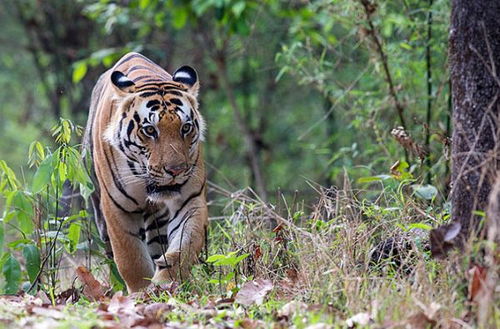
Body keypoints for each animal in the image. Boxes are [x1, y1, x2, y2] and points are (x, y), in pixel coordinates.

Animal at [83, 52, 208, 292]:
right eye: (150, 130)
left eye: (186, 128)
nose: (176, 170)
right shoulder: (116, 208)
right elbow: (130, 258)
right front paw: (141, 292)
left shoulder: (190, 199)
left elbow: (184, 246)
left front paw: (166, 284)